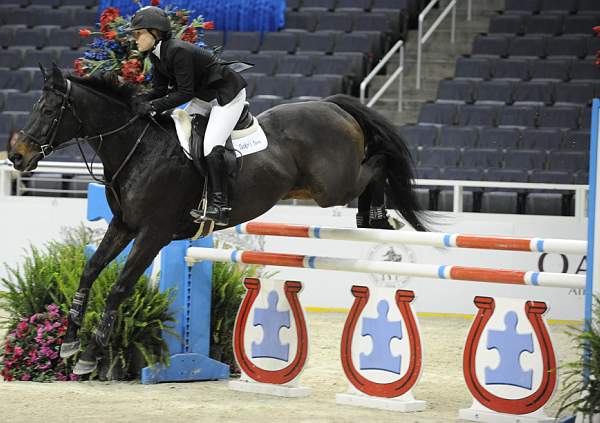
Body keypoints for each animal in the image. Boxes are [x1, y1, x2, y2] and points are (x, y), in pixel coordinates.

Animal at [5, 64, 426, 376]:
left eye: (48, 111)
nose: (17, 156)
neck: (138, 146)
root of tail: (332, 105)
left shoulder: (153, 233)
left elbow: (120, 288)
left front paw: (91, 356)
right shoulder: (123, 226)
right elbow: (90, 271)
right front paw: (68, 342)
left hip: (331, 188)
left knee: (377, 163)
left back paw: (377, 218)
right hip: (311, 188)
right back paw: (371, 218)